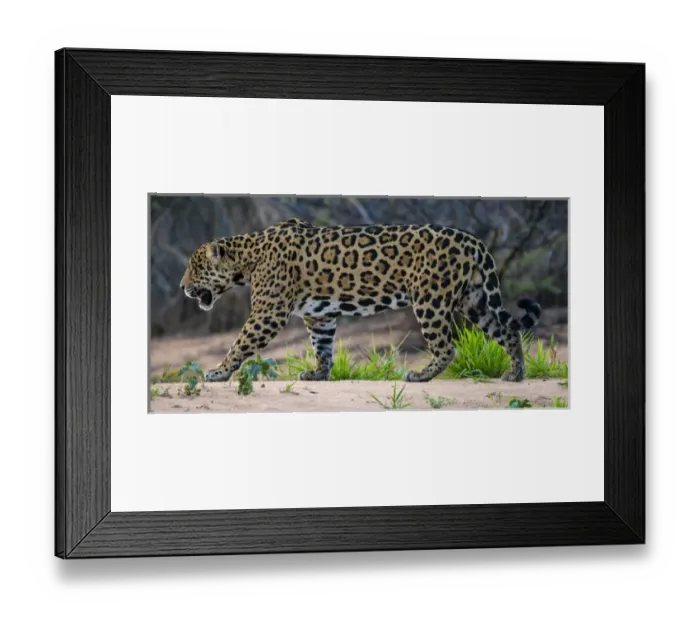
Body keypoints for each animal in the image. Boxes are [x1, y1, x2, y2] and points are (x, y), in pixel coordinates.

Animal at [179, 218, 541, 384]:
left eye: (194, 267)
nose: (182, 287)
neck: (247, 257)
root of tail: (472, 240)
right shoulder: (319, 315)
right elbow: (322, 347)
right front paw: (318, 374)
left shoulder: (267, 313)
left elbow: (238, 343)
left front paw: (218, 372)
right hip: (474, 298)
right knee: (507, 330)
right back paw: (515, 373)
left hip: (430, 299)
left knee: (447, 346)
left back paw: (421, 375)